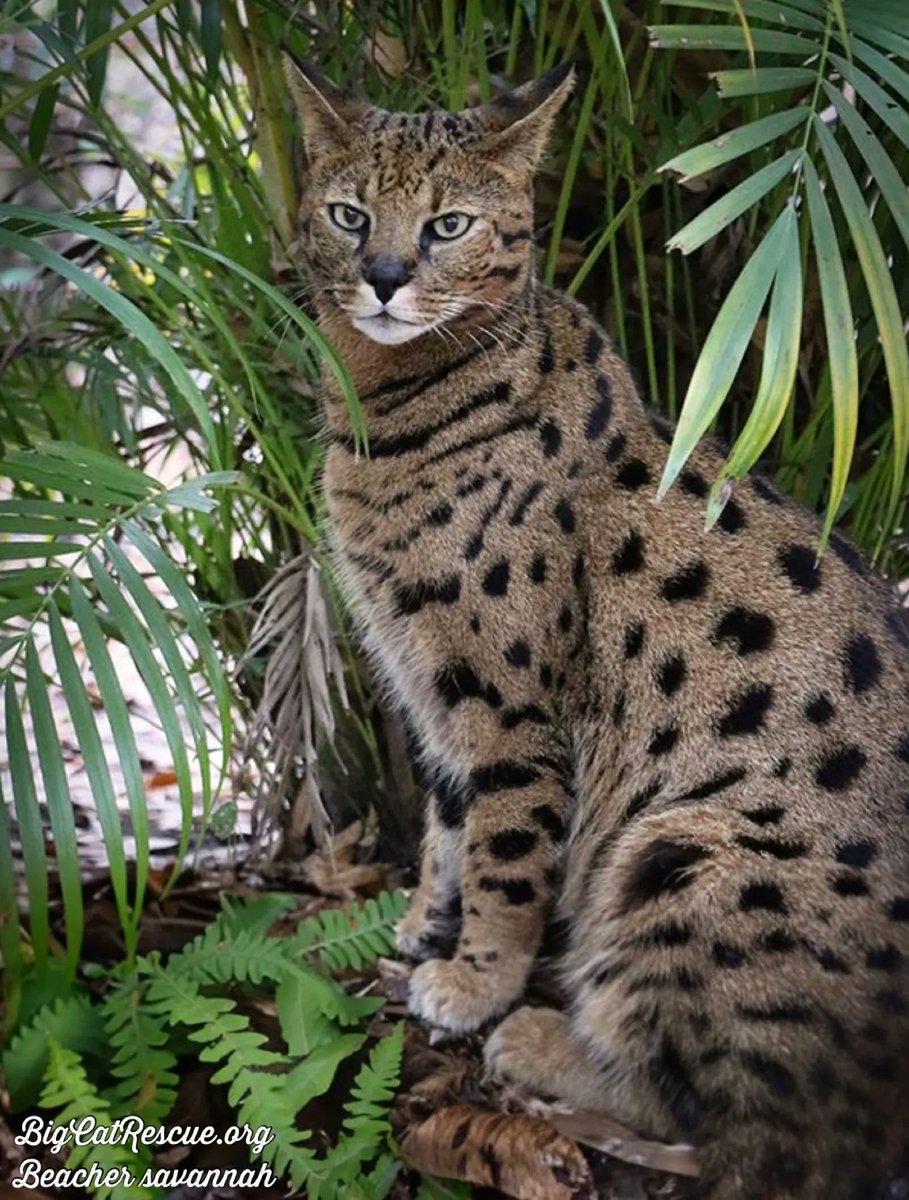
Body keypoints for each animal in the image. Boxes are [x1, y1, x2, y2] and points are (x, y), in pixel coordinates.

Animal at [286, 58, 909, 1200]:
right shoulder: (434, 685)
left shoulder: (510, 704)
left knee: (731, 1119)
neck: (389, 410)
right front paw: (421, 927)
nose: (385, 275)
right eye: (349, 215)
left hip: (682, 845)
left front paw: (474, 981)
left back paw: (539, 1043)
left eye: (447, 225)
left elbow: (505, 856)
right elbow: (446, 824)